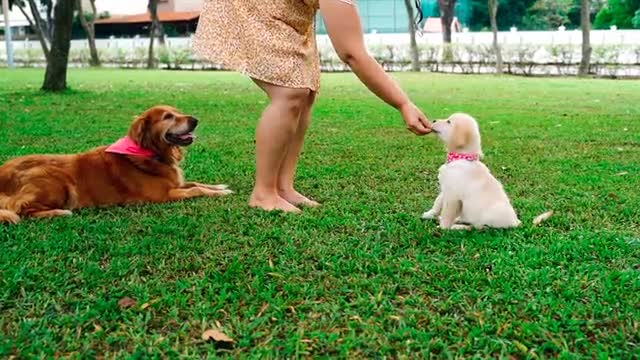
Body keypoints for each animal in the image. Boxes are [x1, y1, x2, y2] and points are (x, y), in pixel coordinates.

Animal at [0, 103, 230, 225]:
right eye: (168, 116)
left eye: (178, 111)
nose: (195, 120)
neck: (152, 153)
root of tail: (3, 172)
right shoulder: (165, 195)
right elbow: (196, 189)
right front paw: (220, 193)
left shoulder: (175, 183)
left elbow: (196, 183)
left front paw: (220, 186)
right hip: (58, 181)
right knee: (21, 210)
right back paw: (58, 212)